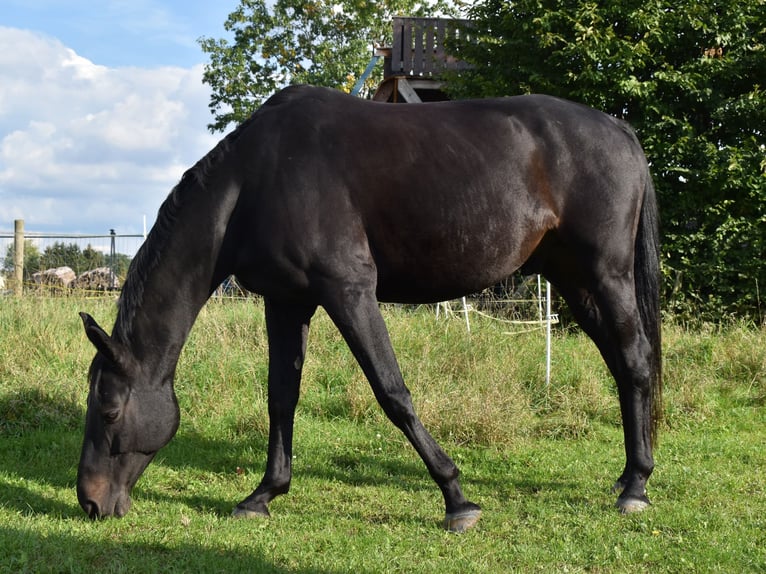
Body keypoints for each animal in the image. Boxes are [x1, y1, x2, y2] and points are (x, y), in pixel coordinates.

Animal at [77, 85, 661, 532]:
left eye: (109, 412)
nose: (90, 501)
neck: (255, 182)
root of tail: (621, 131)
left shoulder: (348, 290)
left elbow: (392, 392)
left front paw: (457, 498)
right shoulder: (287, 301)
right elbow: (281, 397)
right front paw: (263, 495)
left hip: (605, 275)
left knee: (635, 362)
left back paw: (635, 487)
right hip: (574, 281)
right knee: (621, 365)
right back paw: (628, 473)